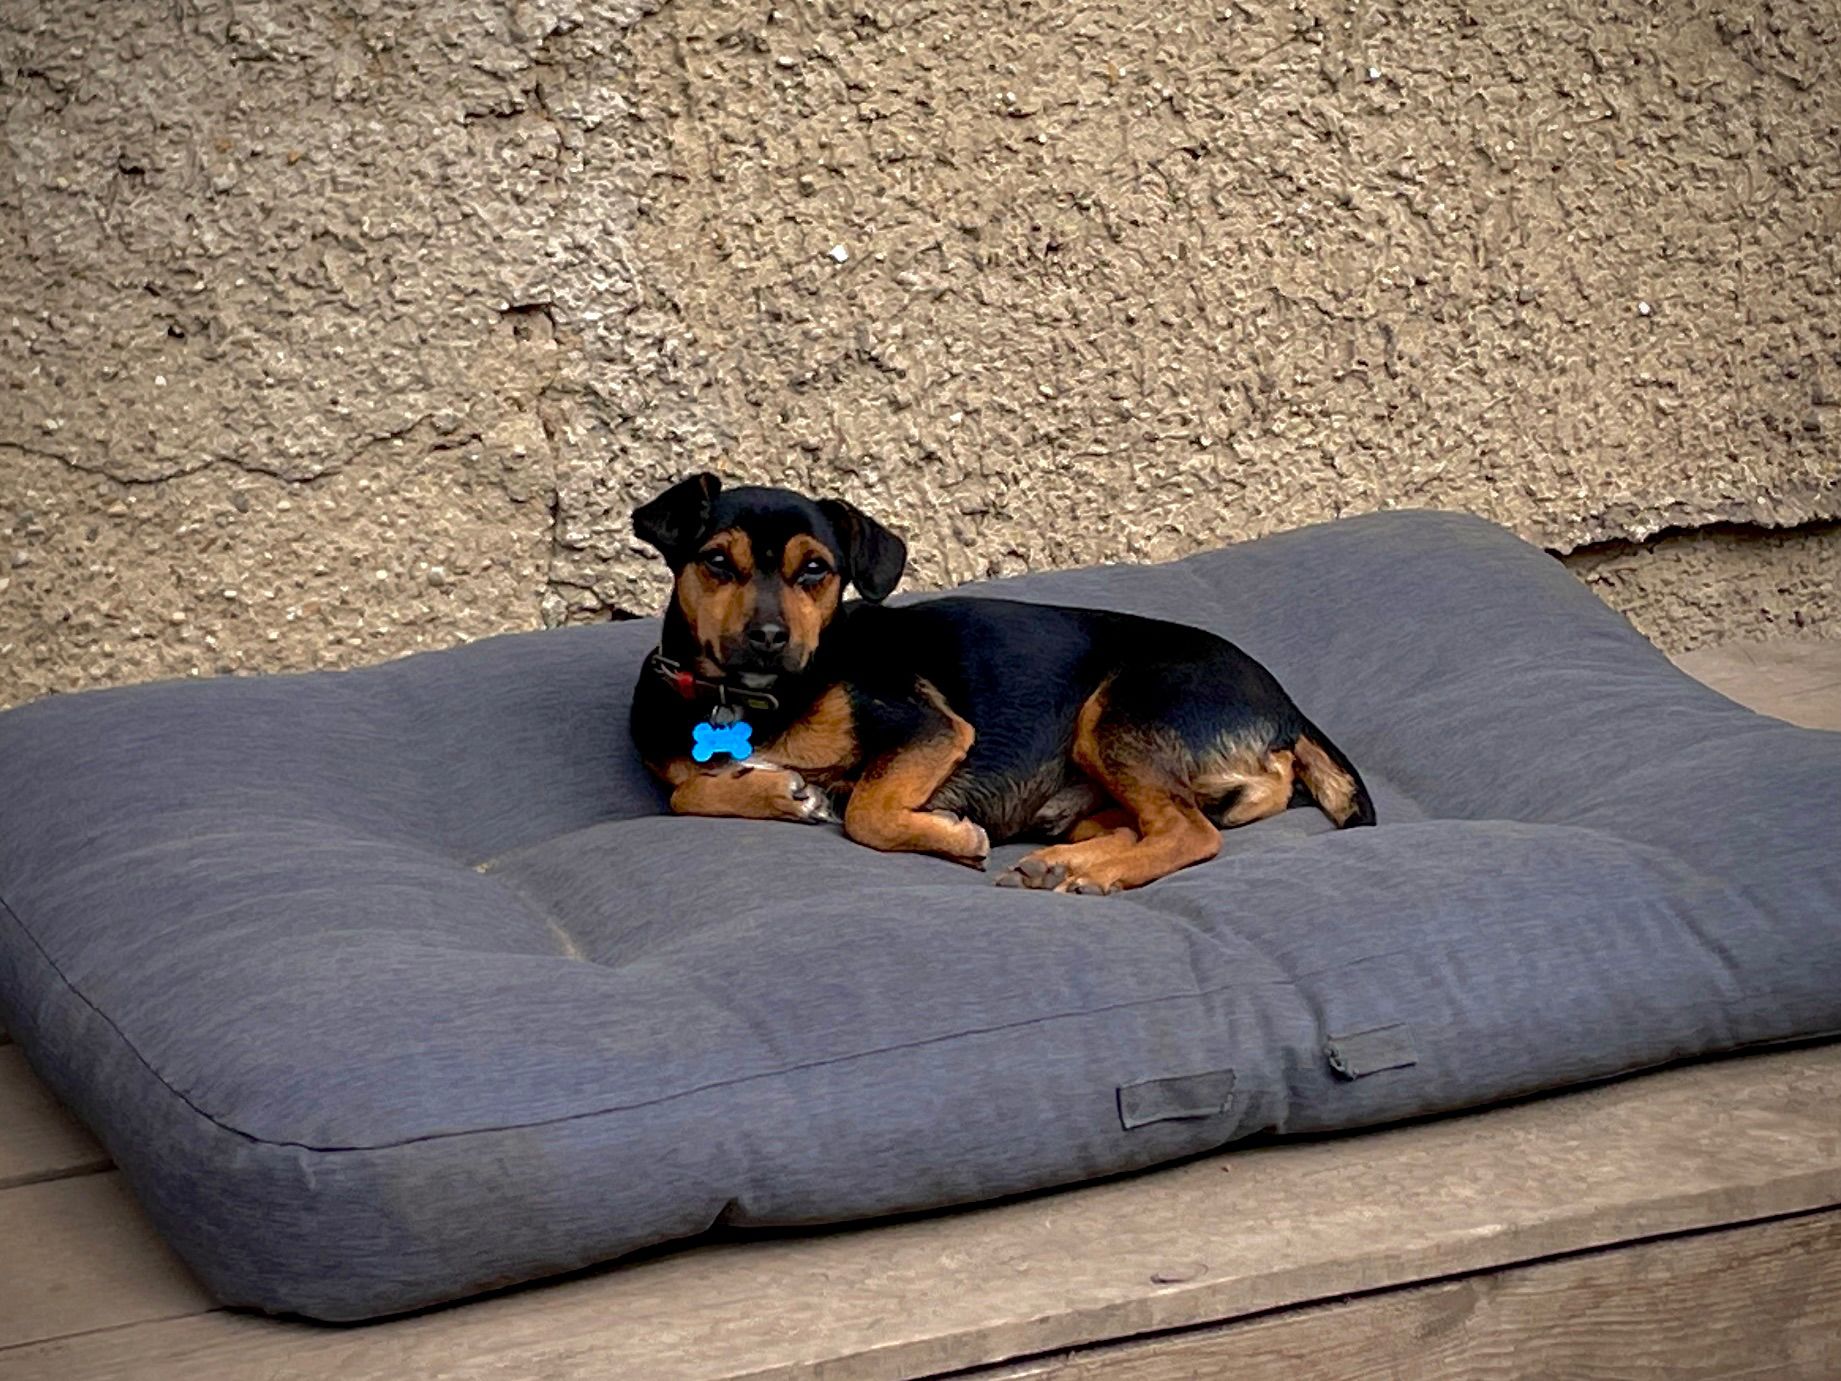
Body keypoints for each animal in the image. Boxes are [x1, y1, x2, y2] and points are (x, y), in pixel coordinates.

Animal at [629, 474, 1374, 894]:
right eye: (716, 562)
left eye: (814, 570)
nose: (768, 637)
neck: (756, 698)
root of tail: (1285, 705)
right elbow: (688, 792)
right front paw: (779, 793)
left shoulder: (929, 728)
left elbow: (868, 811)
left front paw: (952, 837)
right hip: (1099, 787)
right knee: (1152, 822)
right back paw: (1059, 864)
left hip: (1112, 717)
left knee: (1191, 833)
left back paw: (1091, 874)